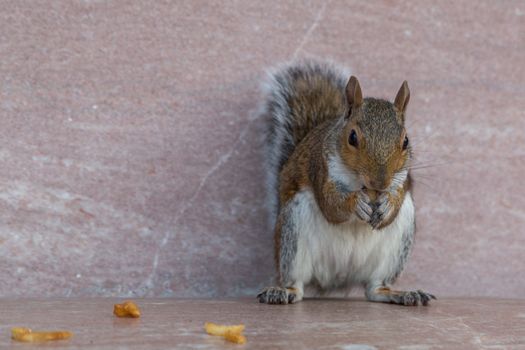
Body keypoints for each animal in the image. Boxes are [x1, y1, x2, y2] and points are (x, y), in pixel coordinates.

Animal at [256, 60, 434, 306]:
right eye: (352, 137)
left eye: (406, 141)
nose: (380, 182)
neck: (360, 182)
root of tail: (338, 278)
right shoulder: (321, 170)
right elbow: (331, 206)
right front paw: (355, 202)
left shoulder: (402, 179)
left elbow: (394, 205)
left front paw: (387, 204)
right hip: (293, 231)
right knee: (297, 282)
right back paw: (283, 292)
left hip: (397, 246)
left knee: (374, 289)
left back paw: (399, 294)